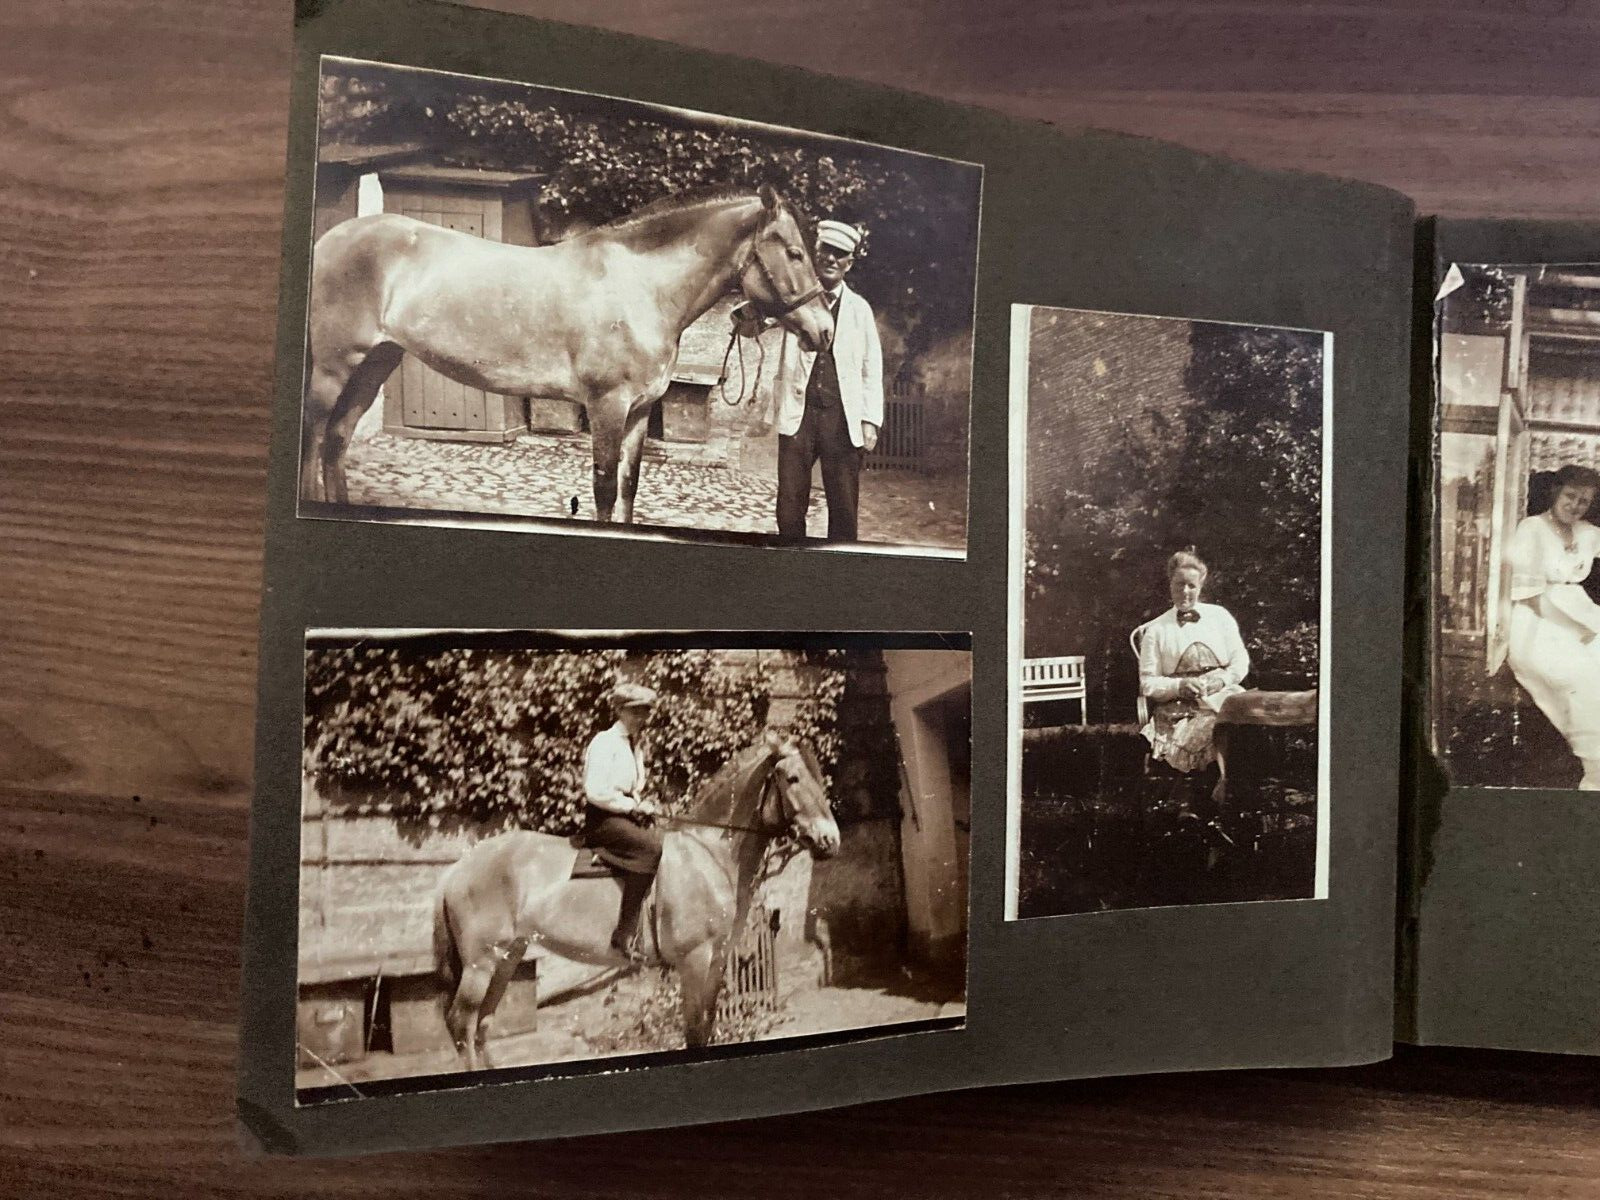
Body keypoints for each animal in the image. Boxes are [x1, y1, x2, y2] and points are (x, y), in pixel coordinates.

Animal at [296, 187, 838, 521]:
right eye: (794, 253)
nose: (825, 330)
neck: (640, 286)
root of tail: (331, 238)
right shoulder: (607, 406)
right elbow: (603, 490)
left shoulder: (639, 412)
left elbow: (628, 489)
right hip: (333, 370)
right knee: (314, 440)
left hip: (374, 365)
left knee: (337, 441)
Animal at [432, 729, 844, 1075]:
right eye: (792, 779)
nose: (830, 840)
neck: (707, 852)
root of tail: (458, 868)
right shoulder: (694, 961)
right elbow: (693, 1031)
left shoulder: (716, 963)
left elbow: (706, 1028)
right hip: (481, 964)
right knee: (462, 1025)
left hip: (507, 958)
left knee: (482, 1025)